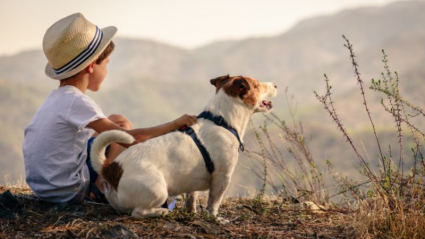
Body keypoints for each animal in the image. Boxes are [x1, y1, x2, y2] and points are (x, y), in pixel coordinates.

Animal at [90, 75, 274, 218]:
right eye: (257, 84)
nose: (276, 85)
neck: (221, 121)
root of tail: (111, 168)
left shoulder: (193, 183)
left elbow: (191, 197)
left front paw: (191, 213)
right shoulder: (222, 177)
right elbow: (214, 203)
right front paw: (215, 218)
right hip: (158, 190)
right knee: (137, 212)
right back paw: (162, 212)